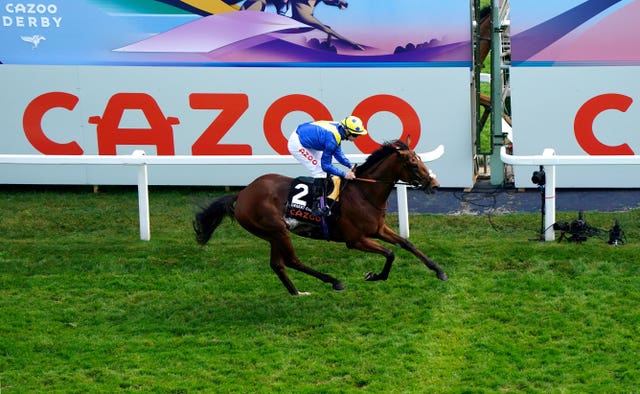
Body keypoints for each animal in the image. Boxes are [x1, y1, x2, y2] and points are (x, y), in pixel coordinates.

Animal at [192, 139, 448, 296]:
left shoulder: (378, 229)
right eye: (413, 163)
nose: (434, 184)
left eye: (420, 159)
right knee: (292, 261)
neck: (363, 192)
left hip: (273, 234)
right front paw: (374, 276)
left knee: (277, 264)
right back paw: (334, 281)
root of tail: (243, 193)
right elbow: (390, 253)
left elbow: (406, 244)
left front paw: (439, 271)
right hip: (277, 230)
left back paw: (297, 293)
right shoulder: (355, 240)